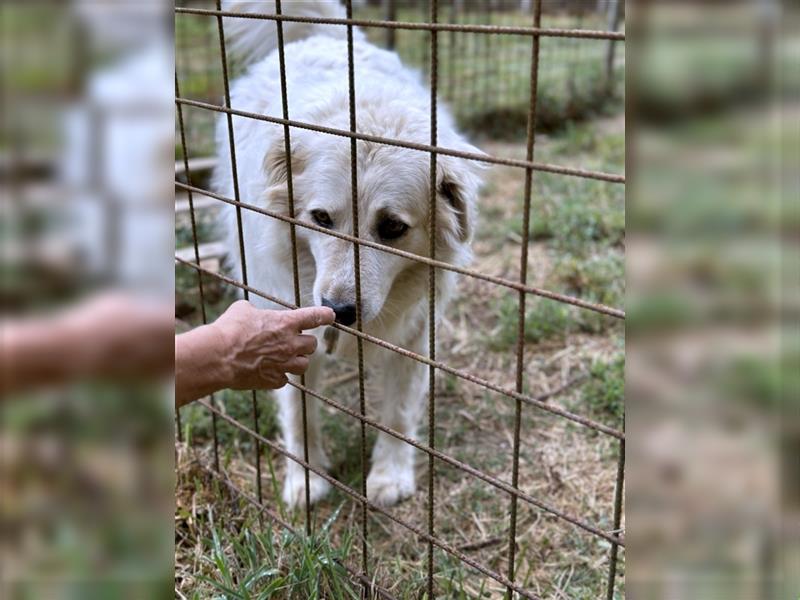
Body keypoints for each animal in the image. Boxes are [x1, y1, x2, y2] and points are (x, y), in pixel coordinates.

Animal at [212, 1, 484, 506]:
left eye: (393, 228)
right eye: (320, 218)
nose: (338, 311)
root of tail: (321, 36)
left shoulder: (415, 333)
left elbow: (398, 412)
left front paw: (390, 477)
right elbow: (299, 410)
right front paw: (305, 479)